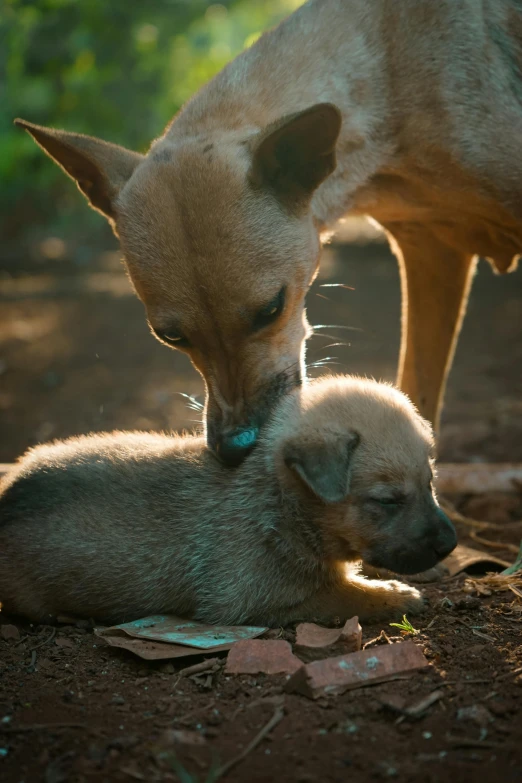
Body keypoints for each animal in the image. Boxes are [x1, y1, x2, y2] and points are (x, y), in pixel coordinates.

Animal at [0, 376, 456, 628]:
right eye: (388, 500)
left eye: (431, 482)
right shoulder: (253, 599)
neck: (275, 504)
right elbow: (344, 596)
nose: (450, 544)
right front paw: (396, 595)